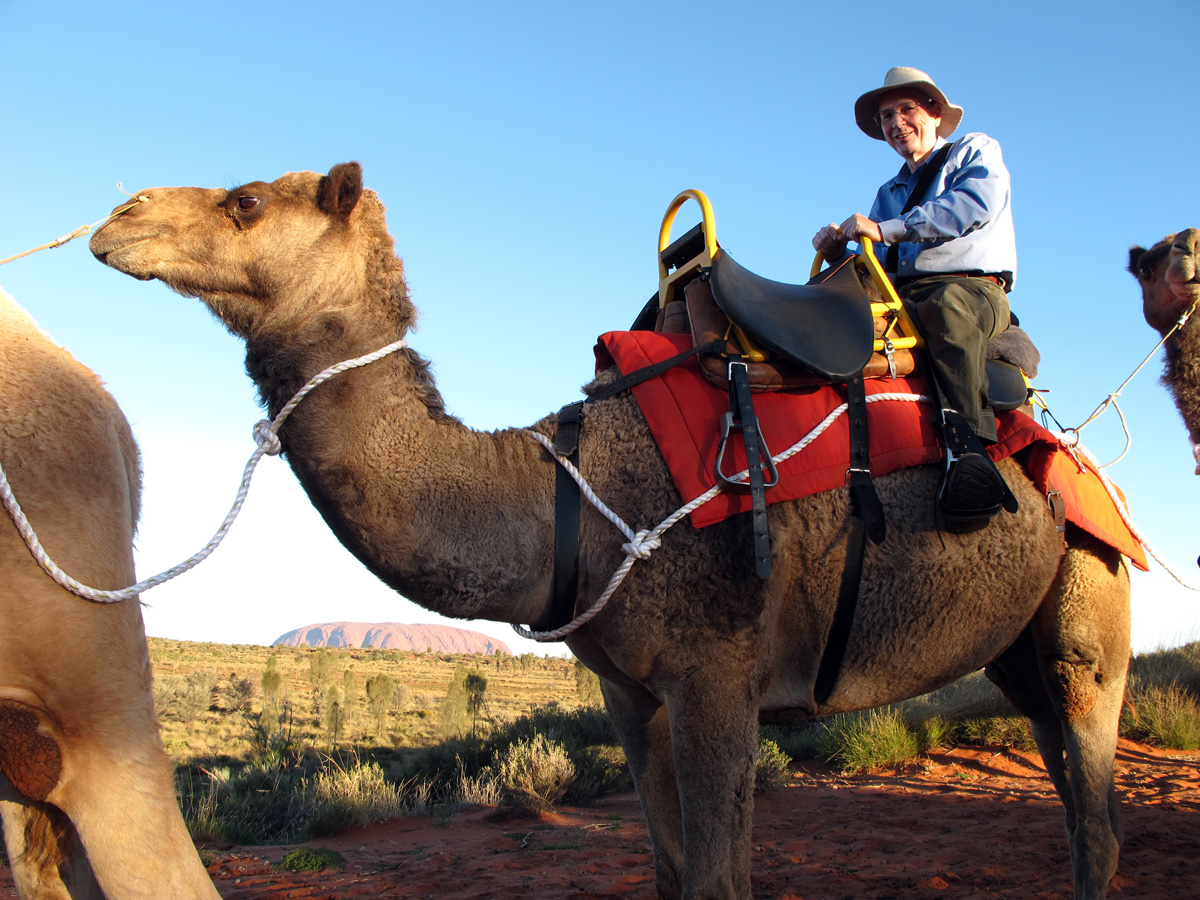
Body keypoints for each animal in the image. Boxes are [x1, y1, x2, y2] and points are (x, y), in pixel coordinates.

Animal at [90, 162, 1132, 900]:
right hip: (1017, 651)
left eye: (245, 200)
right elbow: (669, 870)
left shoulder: (720, 672)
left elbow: (718, 880)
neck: (568, 494)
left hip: (1089, 611)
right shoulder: (629, 690)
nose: (118, 216)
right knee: (1076, 797)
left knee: (1095, 807)